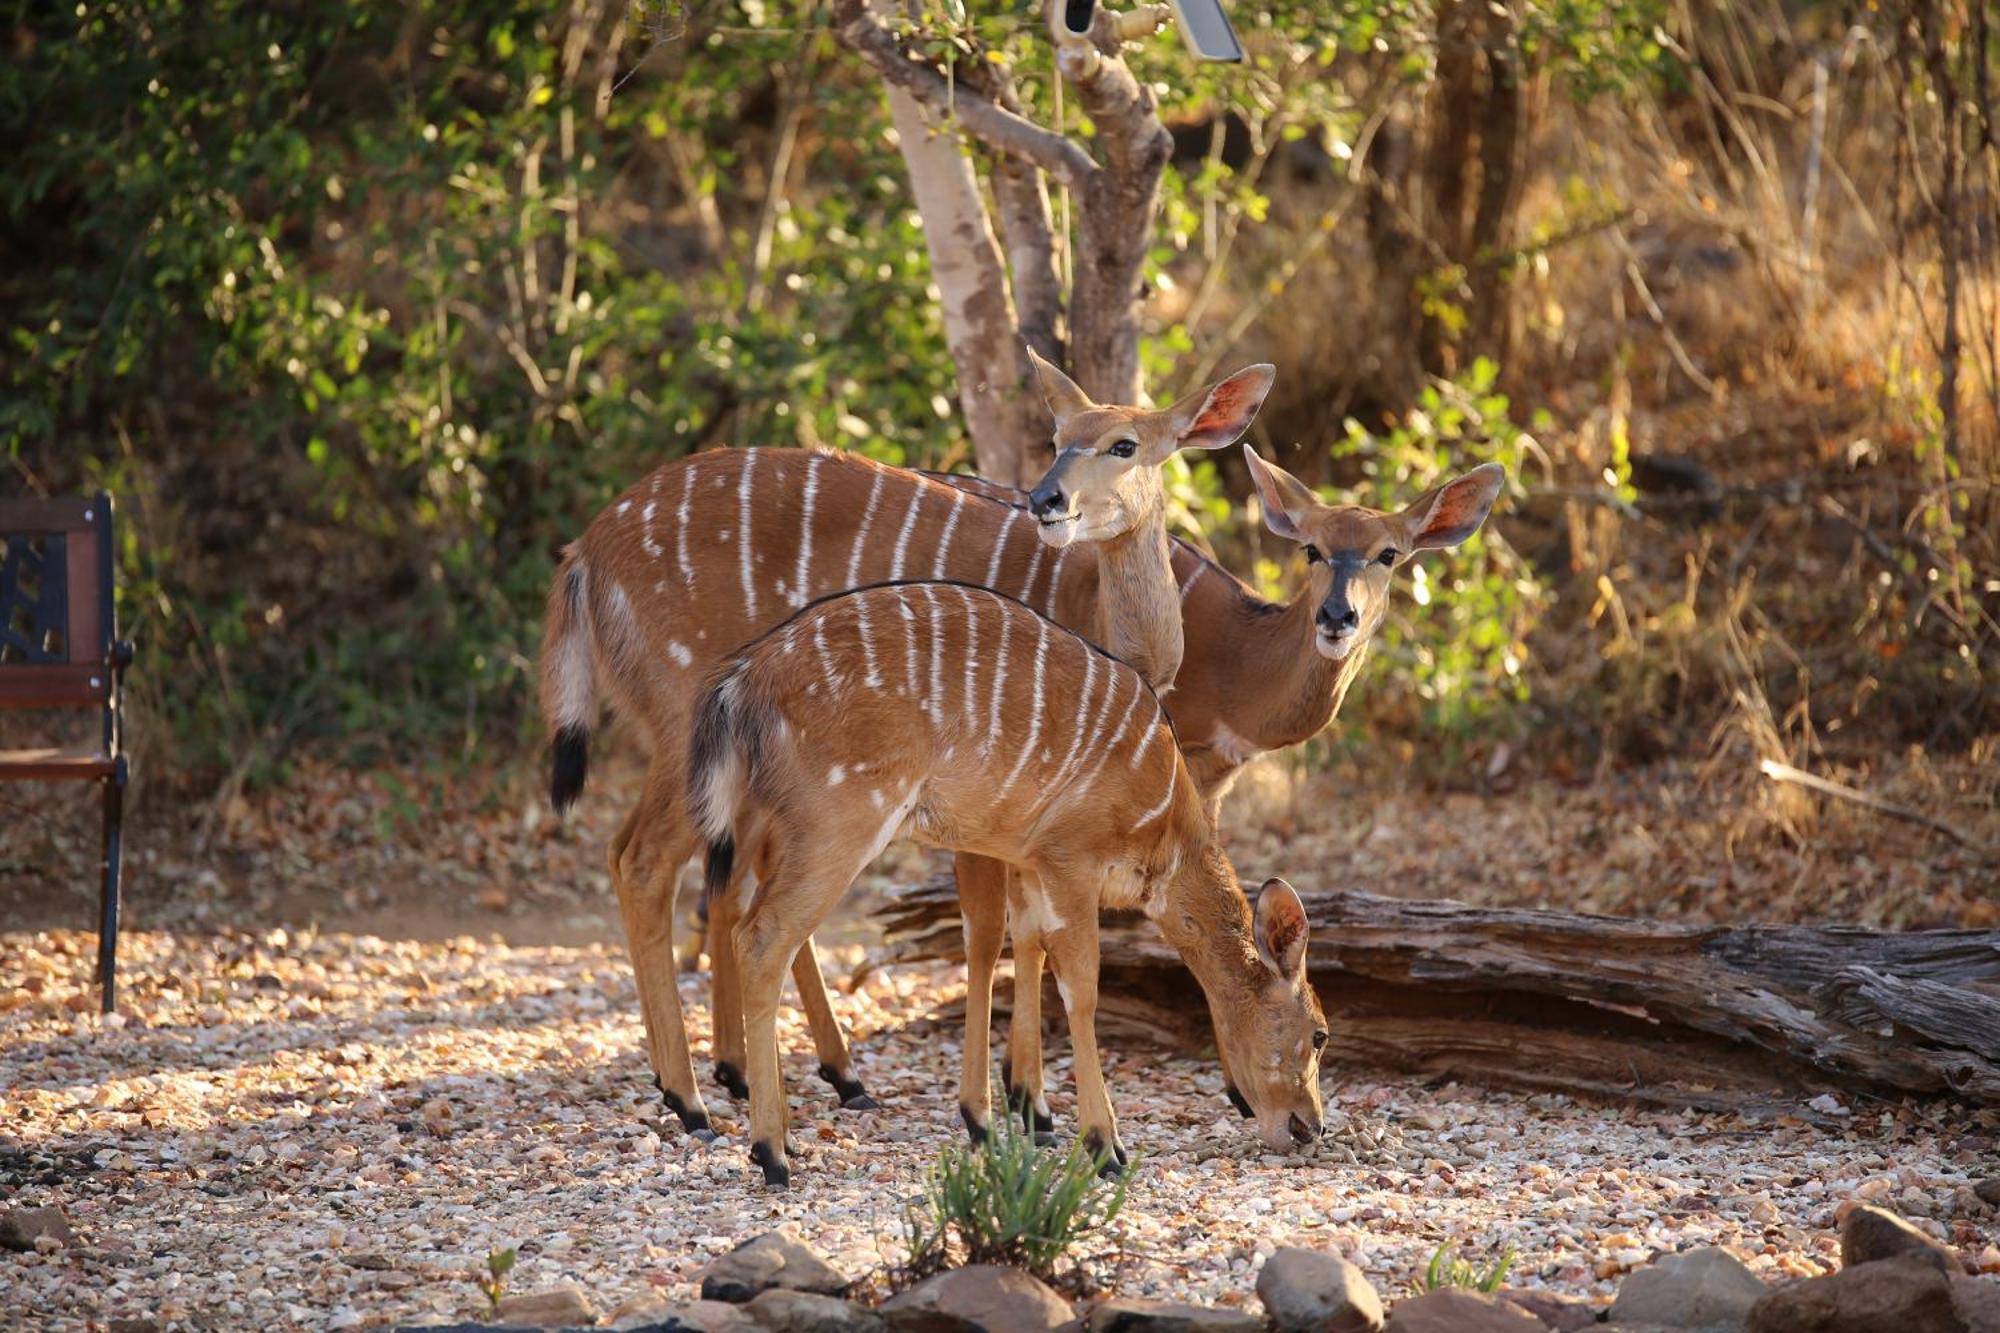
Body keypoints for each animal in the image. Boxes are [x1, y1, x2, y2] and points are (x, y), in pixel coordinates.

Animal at [540, 358, 1272, 1136]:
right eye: (1057, 438)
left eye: (1123, 444)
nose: (1047, 499)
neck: (1119, 637)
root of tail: (583, 552)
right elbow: (1000, 933)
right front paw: (1018, 1107)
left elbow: (1027, 932)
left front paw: (1028, 1101)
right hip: (698, 735)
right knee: (650, 864)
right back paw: (695, 1098)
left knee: (684, 871)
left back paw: (781, 1077)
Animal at [688, 580, 1328, 1184]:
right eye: (1319, 1033)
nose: (1309, 1127)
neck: (1164, 828)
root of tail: (739, 684)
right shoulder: (1071, 856)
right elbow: (1080, 988)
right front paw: (1103, 1145)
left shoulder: (1025, 860)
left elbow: (1018, 949)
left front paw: (1009, 1117)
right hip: (840, 817)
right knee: (762, 936)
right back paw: (771, 1151)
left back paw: (784, 1135)